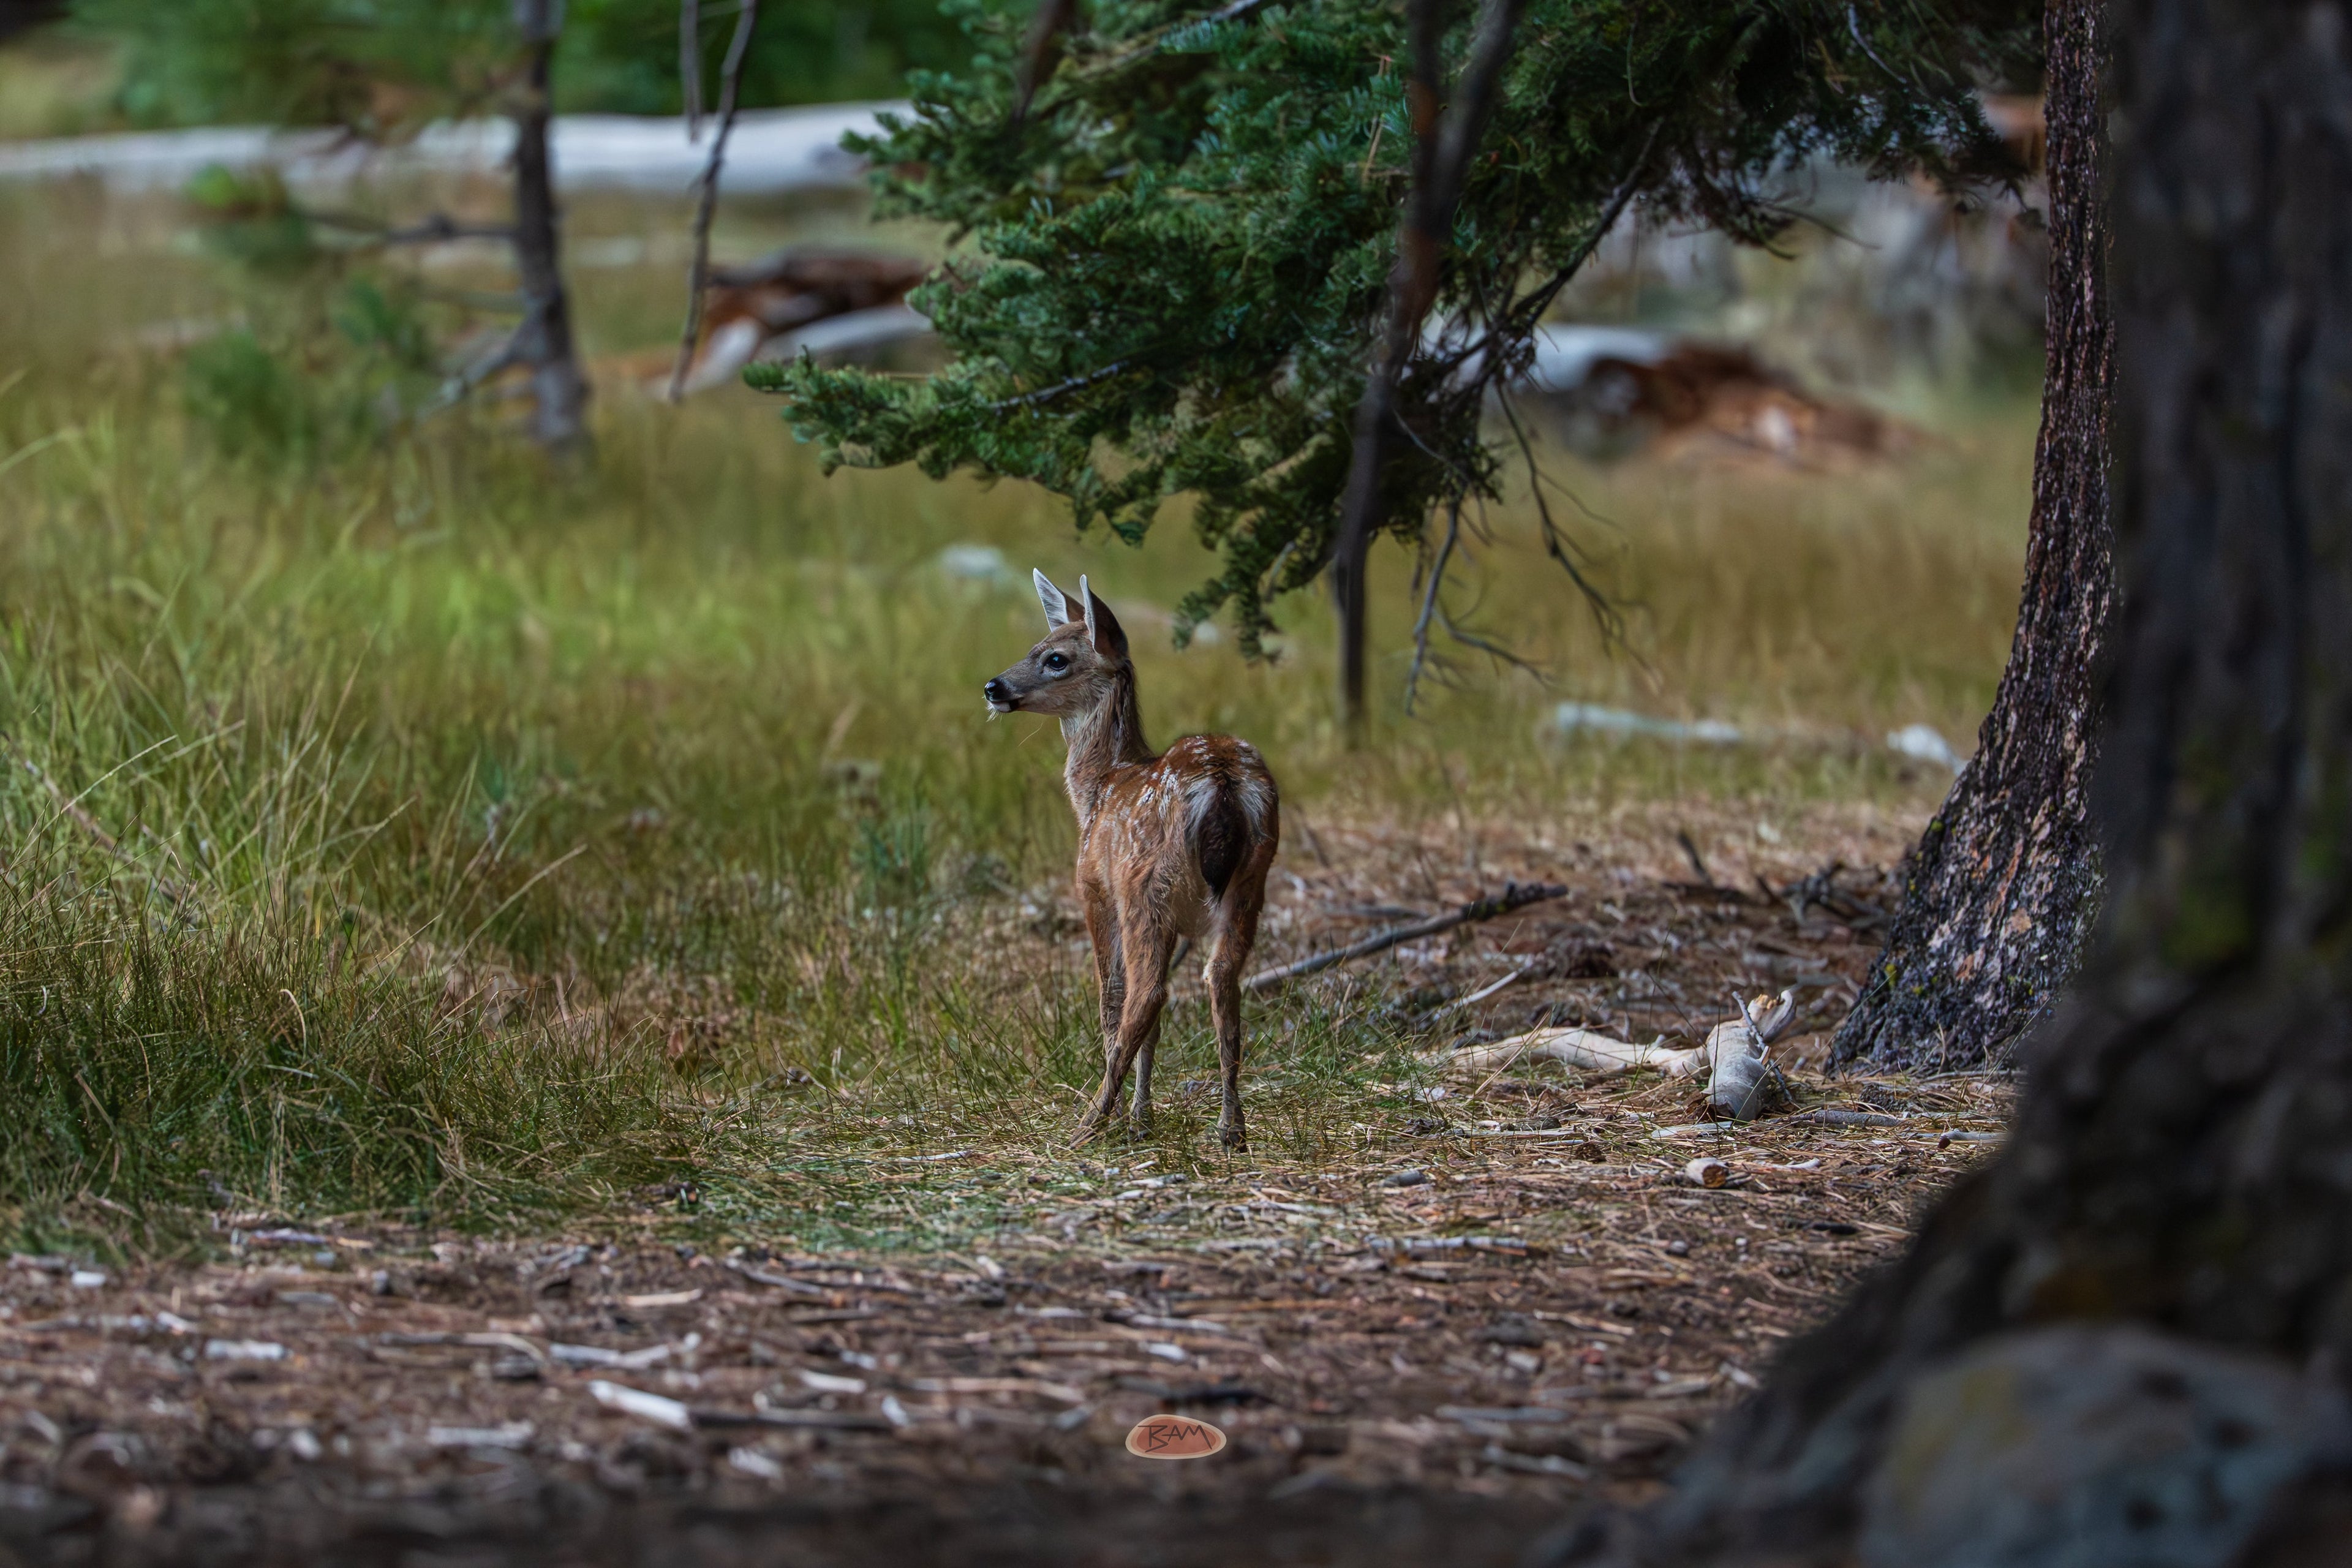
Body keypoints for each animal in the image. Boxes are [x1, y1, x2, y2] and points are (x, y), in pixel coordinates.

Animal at [983, 572, 1280, 1150]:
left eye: (1055, 658)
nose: (993, 687)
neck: (1099, 789)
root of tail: (1223, 783)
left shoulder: (1096, 891)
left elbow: (1111, 1000)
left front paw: (1128, 1116)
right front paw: (1143, 1118)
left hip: (1147, 886)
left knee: (1146, 993)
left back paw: (1088, 1121)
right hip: (1251, 882)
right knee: (1221, 982)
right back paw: (1232, 1129)